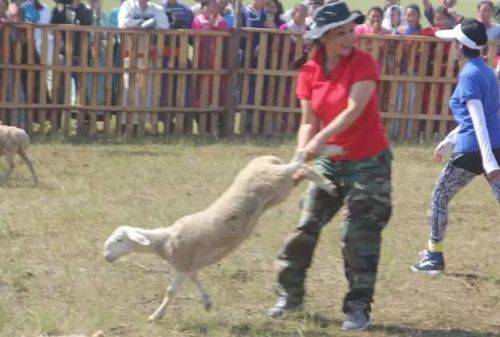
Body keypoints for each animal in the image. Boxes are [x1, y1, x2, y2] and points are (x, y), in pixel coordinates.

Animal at [101, 145, 344, 320]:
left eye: (120, 239)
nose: (105, 256)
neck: (165, 240)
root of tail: (268, 161)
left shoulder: (183, 264)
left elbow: (170, 291)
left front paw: (156, 316)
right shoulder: (192, 267)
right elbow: (197, 283)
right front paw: (207, 302)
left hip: (277, 180)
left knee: (299, 160)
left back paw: (331, 153)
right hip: (281, 189)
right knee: (302, 168)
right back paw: (328, 184)